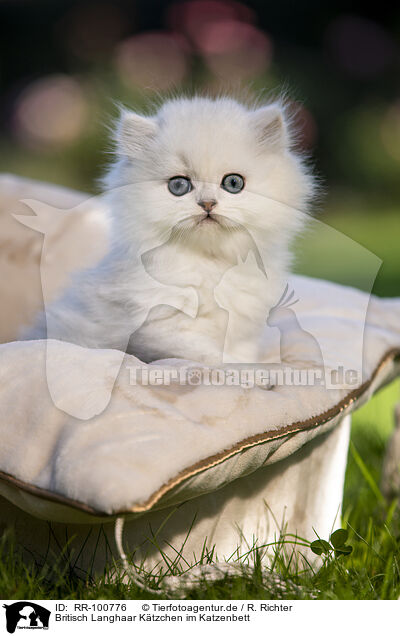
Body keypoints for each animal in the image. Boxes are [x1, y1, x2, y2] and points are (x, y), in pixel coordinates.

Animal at [25, 94, 316, 362]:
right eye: (179, 186)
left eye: (233, 183)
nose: (207, 203)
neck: (211, 265)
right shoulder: (165, 327)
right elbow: (213, 358)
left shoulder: (242, 331)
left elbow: (240, 355)